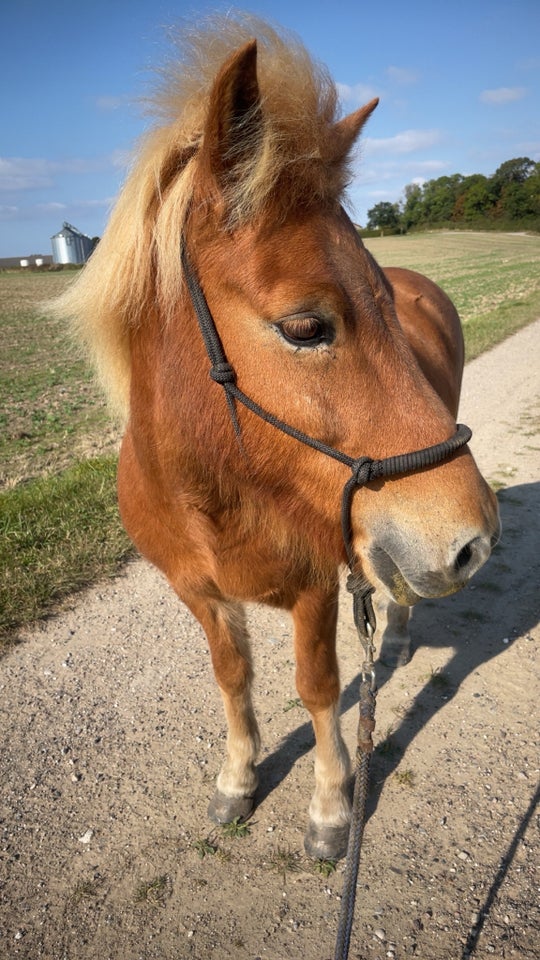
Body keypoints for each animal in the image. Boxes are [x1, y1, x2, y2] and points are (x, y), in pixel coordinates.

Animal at [52, 15, 500, 860]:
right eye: (304, 326)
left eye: (382, 299)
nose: (472, 543)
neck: (215, 492)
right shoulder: (198, 593)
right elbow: (234, 677)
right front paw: (237, 778)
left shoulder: (315, 589)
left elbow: (317, 687)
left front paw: (329, 808)